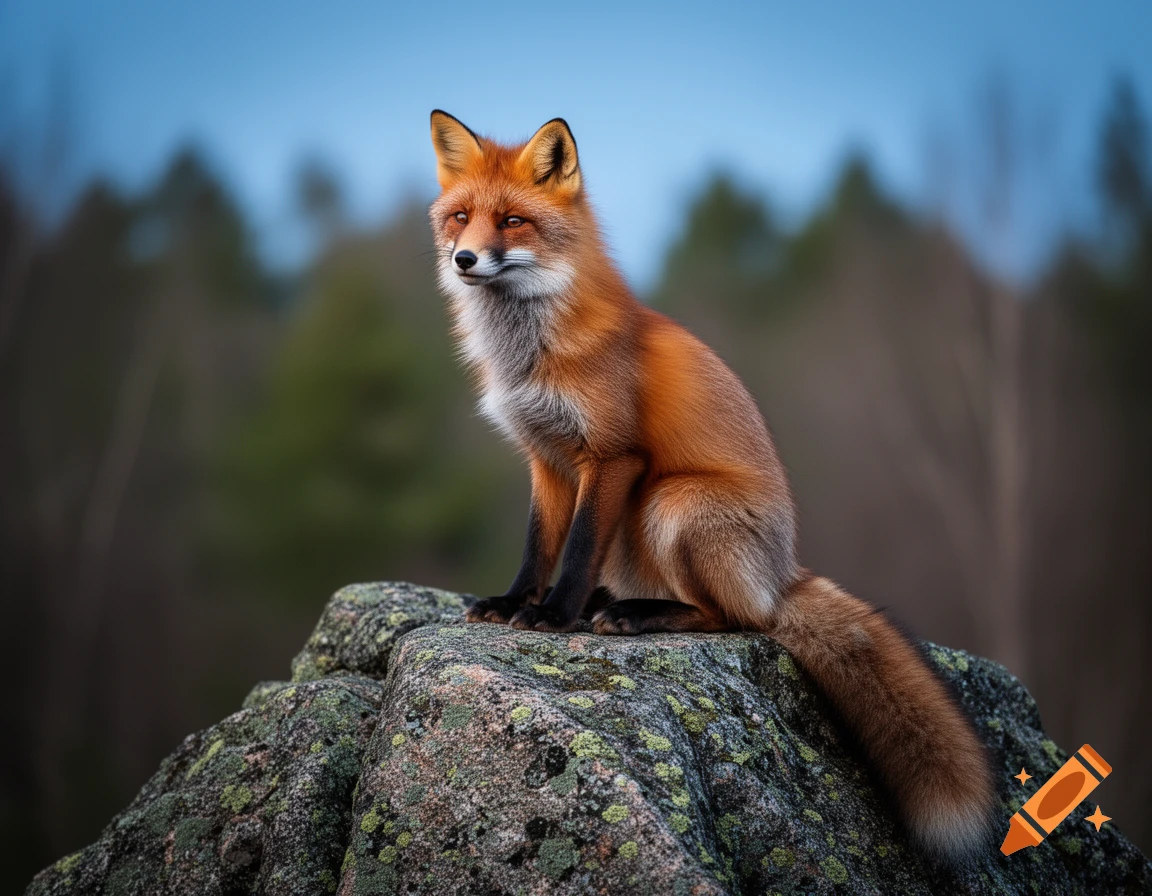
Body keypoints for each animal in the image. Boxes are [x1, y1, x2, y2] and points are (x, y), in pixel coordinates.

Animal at [428, 110, 995, 865]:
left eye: (514, 221)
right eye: (460, 217)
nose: (465, 260)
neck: (530, 352)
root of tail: (785, 573)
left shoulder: (614, 456)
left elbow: (574, 550)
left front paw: (554, 615)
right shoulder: (544, 460)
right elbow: (537, 548)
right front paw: (514, 603)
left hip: (672, 503)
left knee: (737, 620)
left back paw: (639, 615)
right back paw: (619, 602)